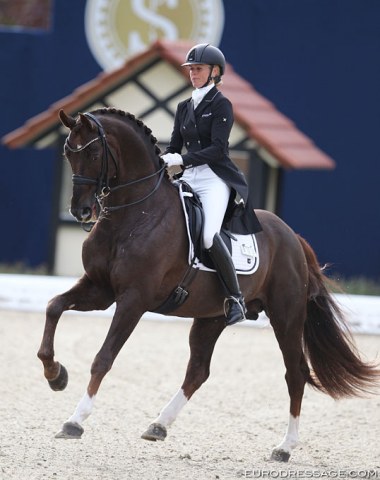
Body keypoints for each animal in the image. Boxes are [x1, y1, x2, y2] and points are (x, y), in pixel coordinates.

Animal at [37, 108, 378, 462]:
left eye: (92, 153)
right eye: (67, 153)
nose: (81, 211)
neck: (134, 215)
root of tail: (293, 237)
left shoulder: (133, 300)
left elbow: (103, 358)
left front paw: (75, 420)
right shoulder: (99, 289)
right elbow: (54, 307)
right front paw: (55, 375)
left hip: (286, 317)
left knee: (294, 373)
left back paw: (284, 447)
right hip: (211, 318)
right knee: (198, 370)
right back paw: (158, 425)